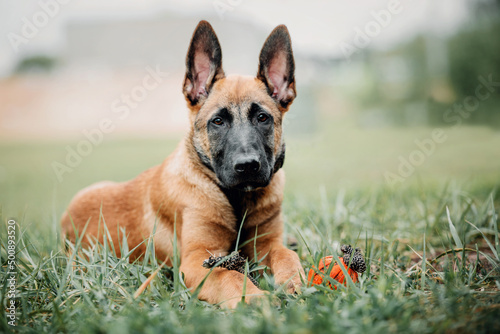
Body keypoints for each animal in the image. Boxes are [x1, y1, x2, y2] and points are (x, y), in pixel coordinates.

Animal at [62, 20, 304, 308]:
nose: (247, 166)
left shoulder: (267, 243)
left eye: (262, 118)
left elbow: (287, 256)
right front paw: (256, 299)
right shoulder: (196, 260)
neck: (236, 200)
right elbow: (228, 276)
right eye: (217, 121)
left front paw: (296, 283)